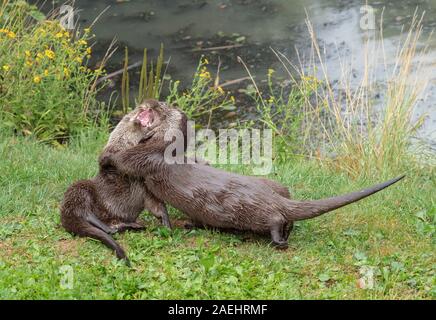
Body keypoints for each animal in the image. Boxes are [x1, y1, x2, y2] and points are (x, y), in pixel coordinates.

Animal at [104, 102, 406, 248]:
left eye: (162, 106)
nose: (148, 101)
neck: (164, 146)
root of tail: (276, 201)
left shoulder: (149, 158)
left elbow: (126, 160)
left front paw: (110, 156)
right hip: (277, 187)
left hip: (248, 210)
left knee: (273, 220)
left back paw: (278, 242)